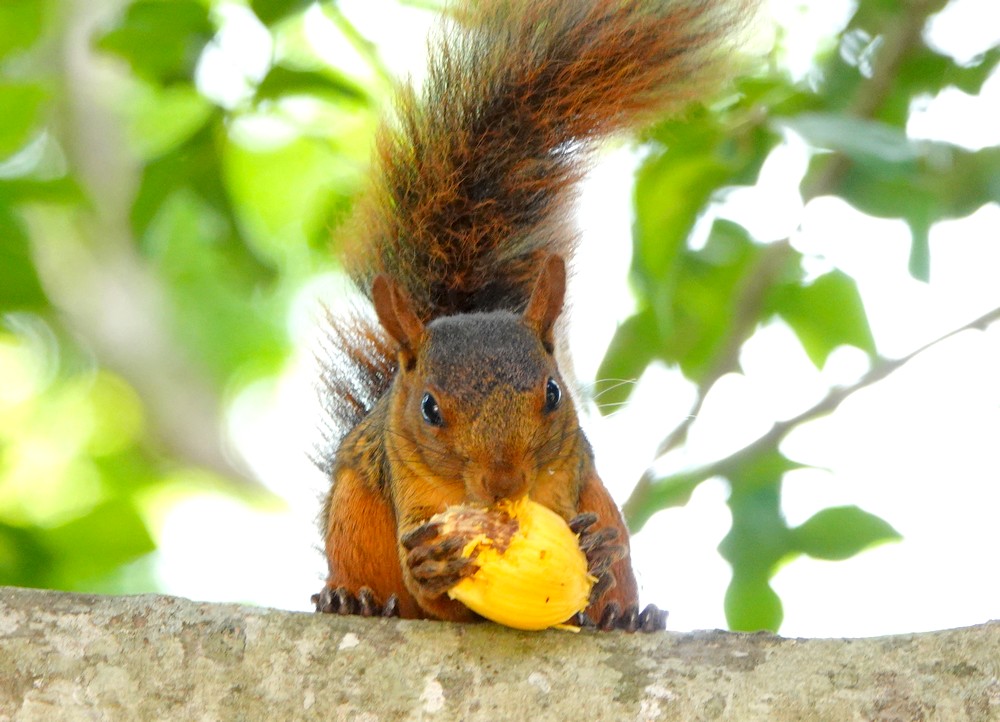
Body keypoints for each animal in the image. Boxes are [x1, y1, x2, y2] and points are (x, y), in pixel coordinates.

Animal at [313, 0, 757, 631]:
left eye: (553, 393)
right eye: (429, 409)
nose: (504, 482)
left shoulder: (574, 474)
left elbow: (603, 546)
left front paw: (598, 551)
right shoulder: (408, 488)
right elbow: (437, 598)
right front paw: (427, 567)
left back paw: (626, 615)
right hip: (351, 511)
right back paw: (351, 599)